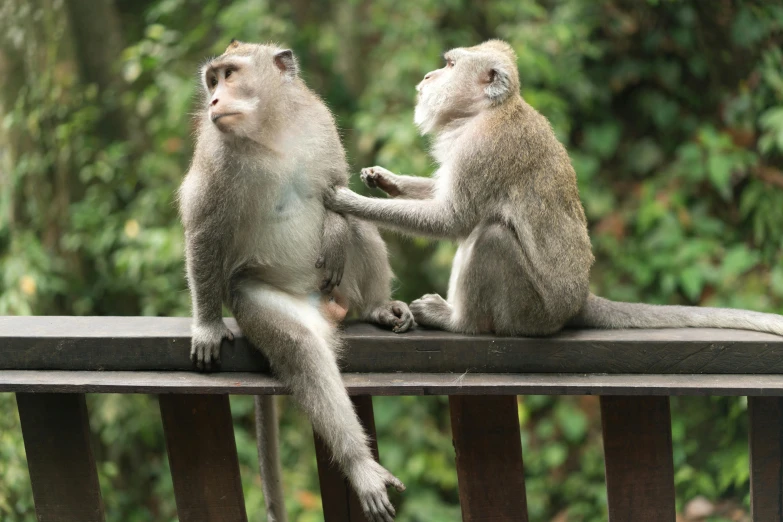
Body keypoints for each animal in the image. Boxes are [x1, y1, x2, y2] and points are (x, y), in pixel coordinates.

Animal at [178, 39, 414, 520]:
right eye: (212, 80)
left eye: (229, 75)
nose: (213, 101)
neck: (272, 130)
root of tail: (327, 307)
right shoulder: (214, 153)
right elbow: (203, 229)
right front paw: (207, 326)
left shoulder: (319, 122)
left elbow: (337, 190)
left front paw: (336, 229)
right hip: (257, 298)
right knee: (302, 350)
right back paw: (360, 464)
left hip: (341, 286)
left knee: (362, 224)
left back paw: (379, 307)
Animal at [326, 38, 783, 336]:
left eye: (451, 66)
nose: (428, 75)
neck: (486, 112)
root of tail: (578, 300)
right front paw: (384, 179)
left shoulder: (484, 151)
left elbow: (451, 219)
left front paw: (349, 200)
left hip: (530, 312)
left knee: (491, 236)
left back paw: (458, 321)